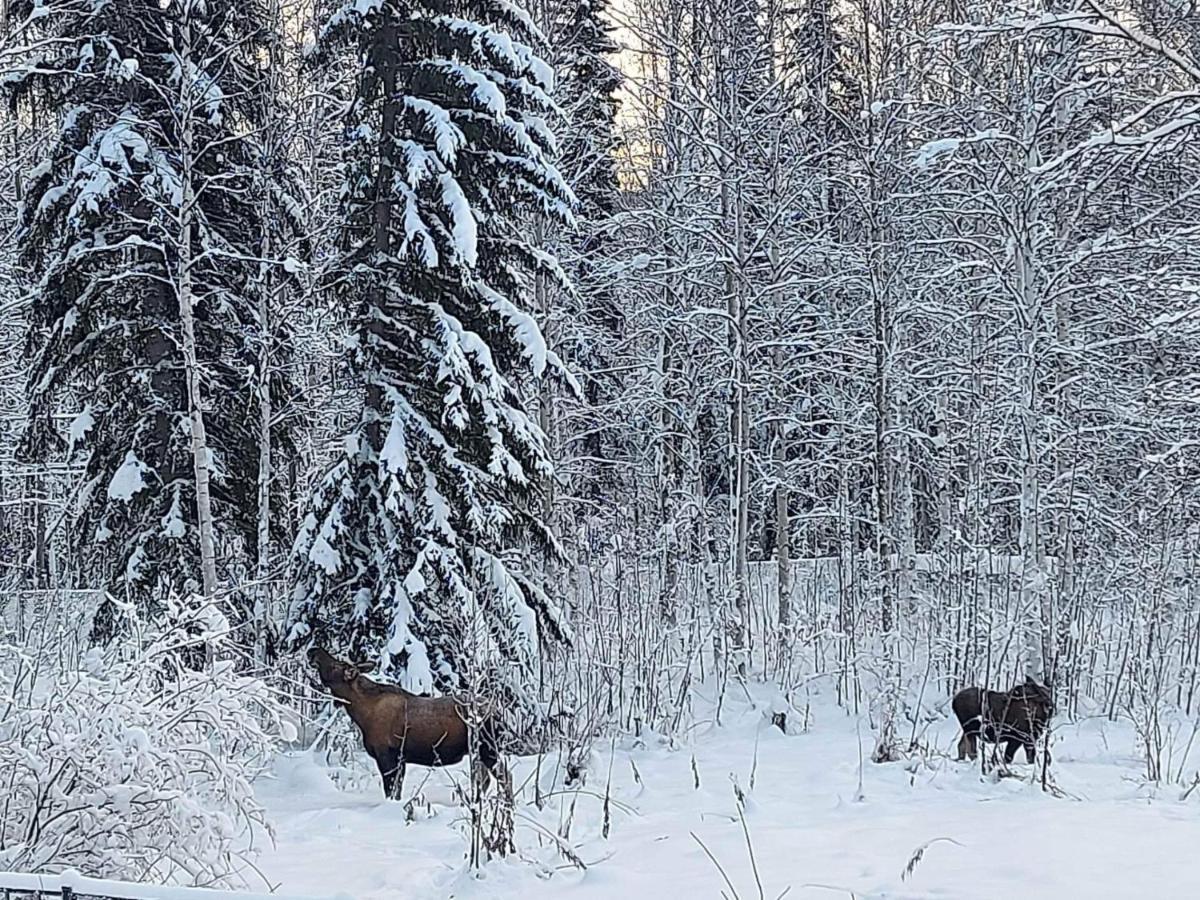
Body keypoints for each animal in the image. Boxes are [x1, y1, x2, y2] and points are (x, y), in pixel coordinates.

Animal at [309, 648, 501, 801]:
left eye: (335, 666)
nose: (314, 651)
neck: (361, 712)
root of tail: (498, 710)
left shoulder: (387, 754)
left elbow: (391, 790)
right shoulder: (400, 759)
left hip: (488, 749)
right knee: (484, 781)